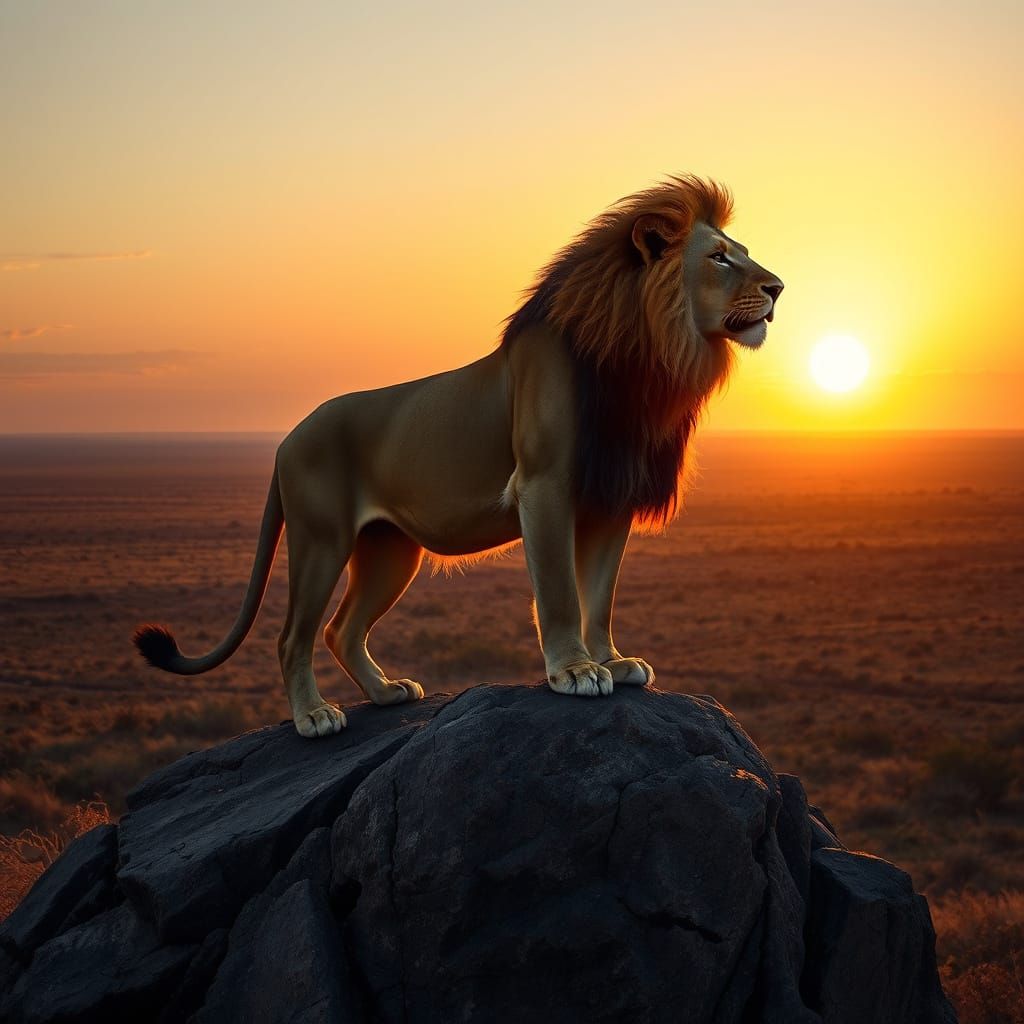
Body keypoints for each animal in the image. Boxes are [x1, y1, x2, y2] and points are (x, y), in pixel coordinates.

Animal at [134, 175, 783, 738]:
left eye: (742, 253)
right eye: (720, 257)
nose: (778, 288)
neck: (646, 356)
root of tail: (286, 439)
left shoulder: (610, 497)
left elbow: (599, 595)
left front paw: (613, 662)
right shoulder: (543, 484)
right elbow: (560, 592)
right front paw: (574, 671)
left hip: (391, 550)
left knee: (342, 630)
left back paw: (386, 693)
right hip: (321, 539)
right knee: (293, 636)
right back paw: (314, 718)